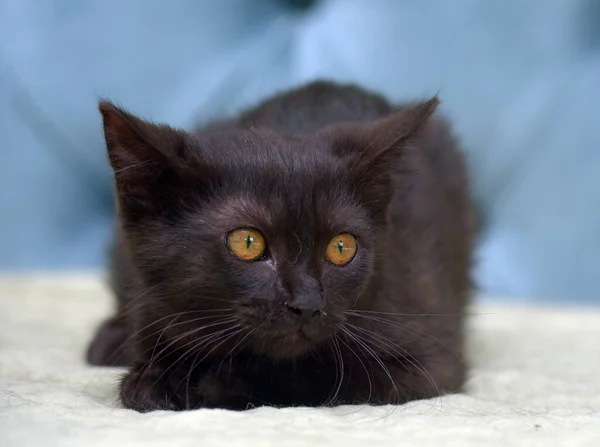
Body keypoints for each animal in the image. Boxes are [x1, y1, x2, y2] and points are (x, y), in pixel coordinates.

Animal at [86, 81, 476, 412]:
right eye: (247, 242)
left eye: (341, 248)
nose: (307, 304)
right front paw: (157, 376)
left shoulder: (427, 357)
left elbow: (317, 375)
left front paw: (210, 381)